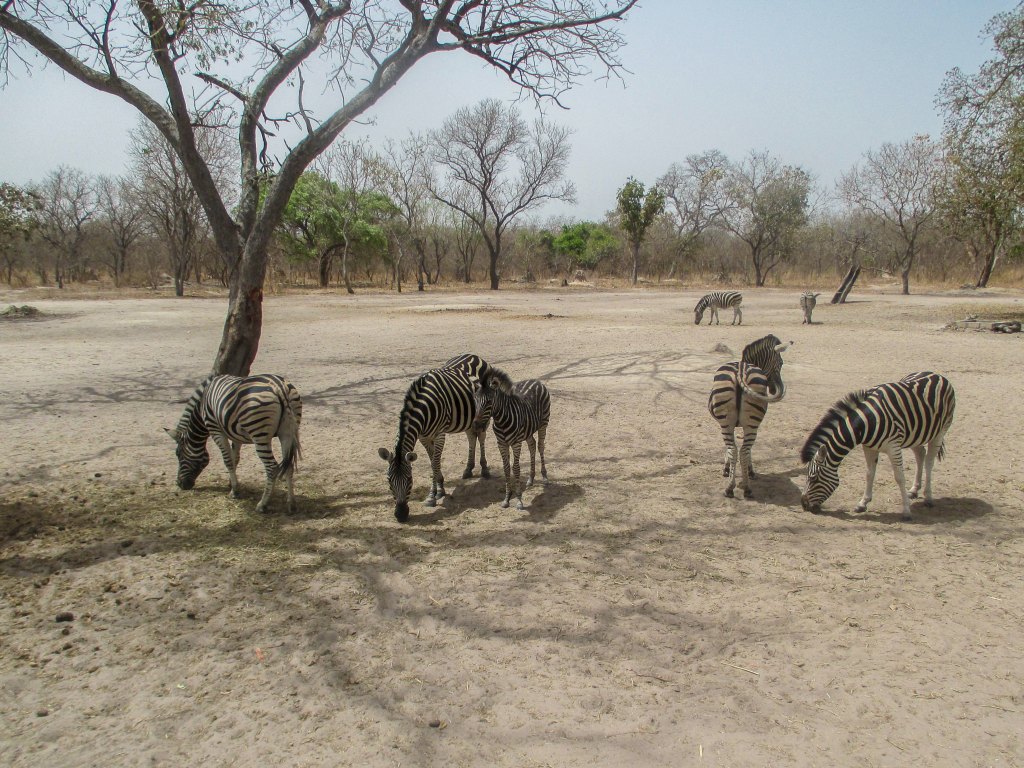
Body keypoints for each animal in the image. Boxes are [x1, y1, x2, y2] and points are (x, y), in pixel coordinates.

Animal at [165, 374, 301, 514]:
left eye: (178, 454)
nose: (180, 484)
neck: (202, 406)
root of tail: (279, 386)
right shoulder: (236, 436)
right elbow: (235, 459)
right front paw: (231, 484)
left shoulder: (216, 430)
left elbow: (228, 461)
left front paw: (234, 491)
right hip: (287, 432)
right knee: (289, 465)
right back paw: (291, 504)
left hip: (259, 435)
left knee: (272, 468)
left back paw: (262, 504)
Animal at [378, 354, 505, 524]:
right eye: (389, 481)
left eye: (410, 479)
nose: (400, 515)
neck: (423, 407)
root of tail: (474, 355)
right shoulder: (424, 437)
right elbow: (433, 461)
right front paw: (440, 488)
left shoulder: (439, 435)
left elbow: (435, 463)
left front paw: (432, 496)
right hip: (469, 419)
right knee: (471, 437)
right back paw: (468, 469)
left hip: (485, 415)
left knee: (481, 437)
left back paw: (484, 469)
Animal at [473, 368, 552, 507]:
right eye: (475, 400)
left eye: (489, 401)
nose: (476, 425)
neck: (501, 420)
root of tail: (535, 381)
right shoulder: (501, 443)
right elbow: (506, 468)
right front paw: (507, 497)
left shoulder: (516, 443)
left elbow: (516, 468)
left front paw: (519, 499)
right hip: (528, 430)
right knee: (532, 445)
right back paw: (531, 478)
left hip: (544, 423)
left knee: (540, 446)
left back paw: (544, 477)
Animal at [712, 335, 790, 499]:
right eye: (781, 363)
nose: (773, 389)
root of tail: (740, 371)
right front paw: (744, 470)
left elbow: (734, 448)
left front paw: (729, 469)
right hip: (749, 424)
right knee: (743, 450)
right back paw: (744, 487)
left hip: (730, 423)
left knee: (737, 450)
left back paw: (732, 488)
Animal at [794, 370, 954, 520]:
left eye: (813, 478)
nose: (803, 505)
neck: (866, 422)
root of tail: (935, 373)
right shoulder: (869, 447)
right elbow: (869, 473)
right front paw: (862, 503)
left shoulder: (893, 447)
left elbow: (899, 477)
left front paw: (906, 511)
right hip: (915, 434)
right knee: (920, 454)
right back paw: (914, 490)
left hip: (940, 431)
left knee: (929, 462)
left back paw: (928, 497)